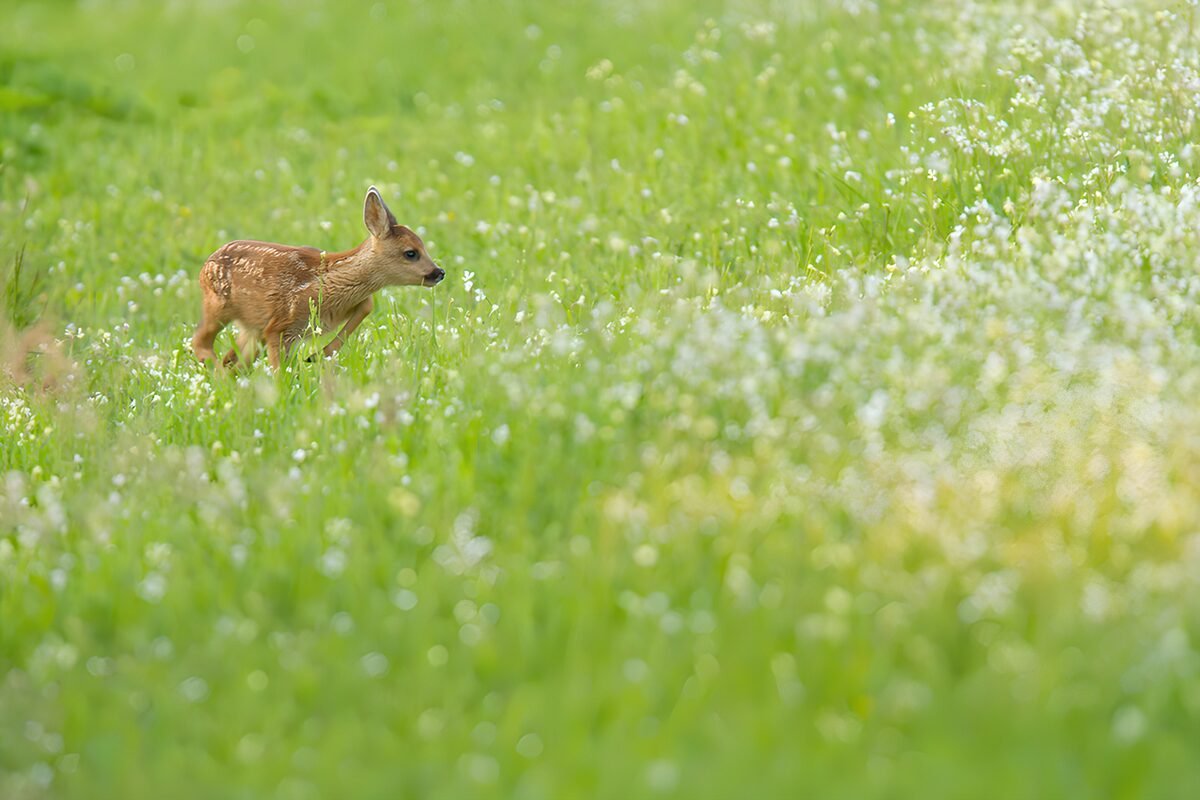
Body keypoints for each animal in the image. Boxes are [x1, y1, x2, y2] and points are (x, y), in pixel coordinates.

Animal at [191, 186, 444, 370]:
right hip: (218, 306)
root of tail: (205, 265)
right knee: (201, 343)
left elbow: (367, 305)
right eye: (411, 252)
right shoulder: (279, 325)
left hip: (250, 328)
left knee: (232, 360)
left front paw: (317, 355)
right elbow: (279, 371)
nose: (439, 272)